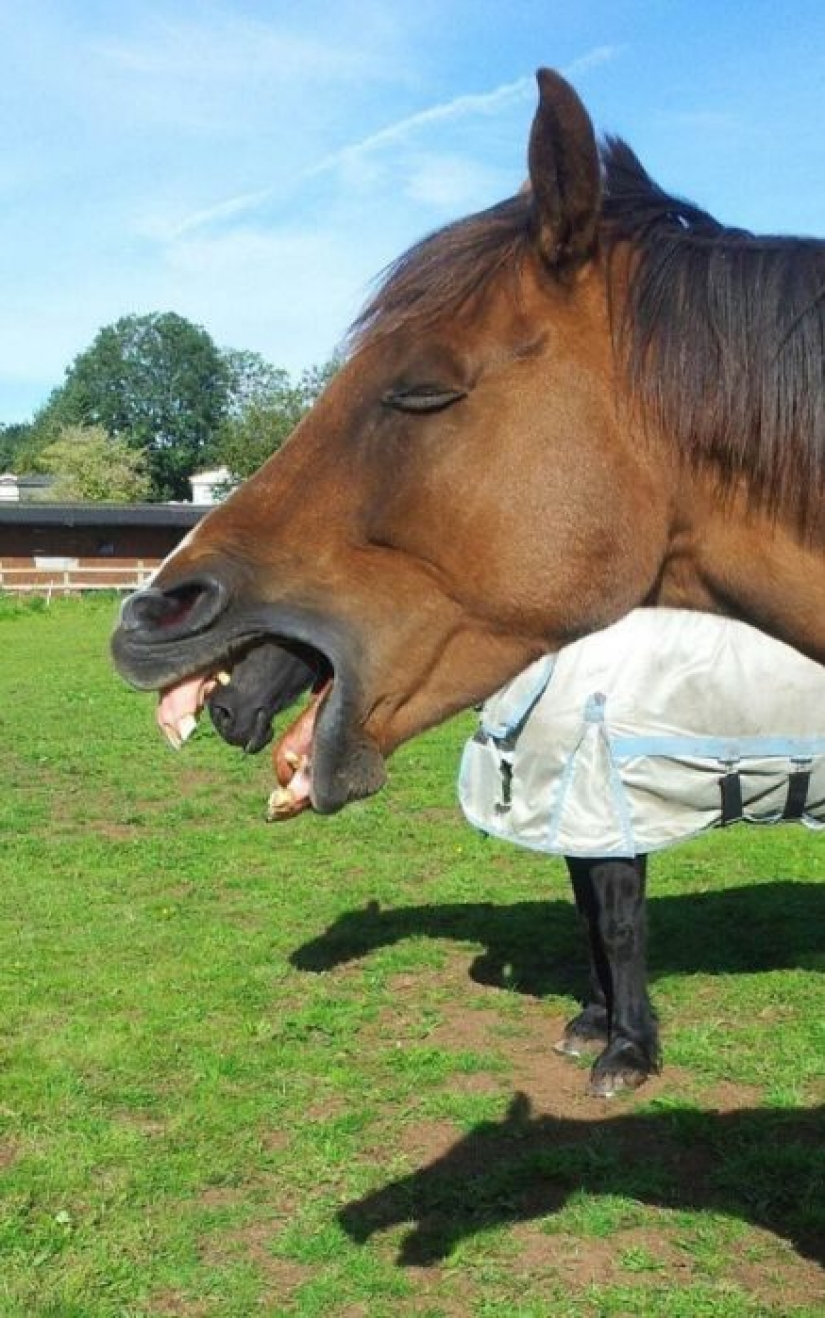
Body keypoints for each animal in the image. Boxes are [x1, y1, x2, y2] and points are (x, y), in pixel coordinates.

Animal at [112, 69, 822, 1080]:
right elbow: (590, 920)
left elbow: (615, 922)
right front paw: (595, 1024)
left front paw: (625, 1051)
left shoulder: (606, 813)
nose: (153, 617)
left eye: (423, 388)